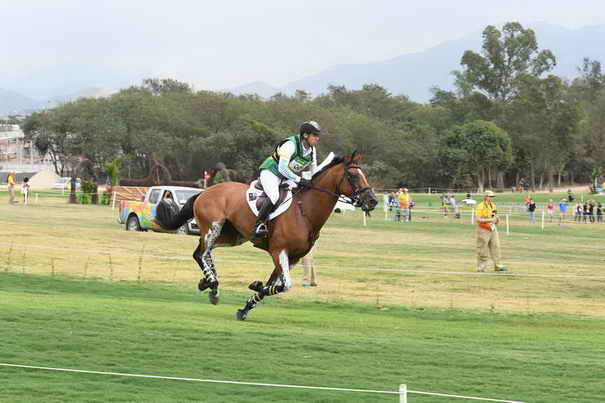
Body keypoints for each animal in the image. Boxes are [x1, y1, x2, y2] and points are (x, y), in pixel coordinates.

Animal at [153, 150, 376, 320]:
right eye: (353, 176)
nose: (372, 200)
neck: (304, 211)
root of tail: (204, 191)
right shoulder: (279, 251)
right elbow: (284, 285)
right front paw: (255, 288)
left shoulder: (292, 258)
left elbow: (273, 285)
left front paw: (246, 305)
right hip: (213, 227)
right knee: (201, 253)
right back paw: (213, 285)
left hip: (231, 236)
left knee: (202, 252)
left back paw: (208, 284)